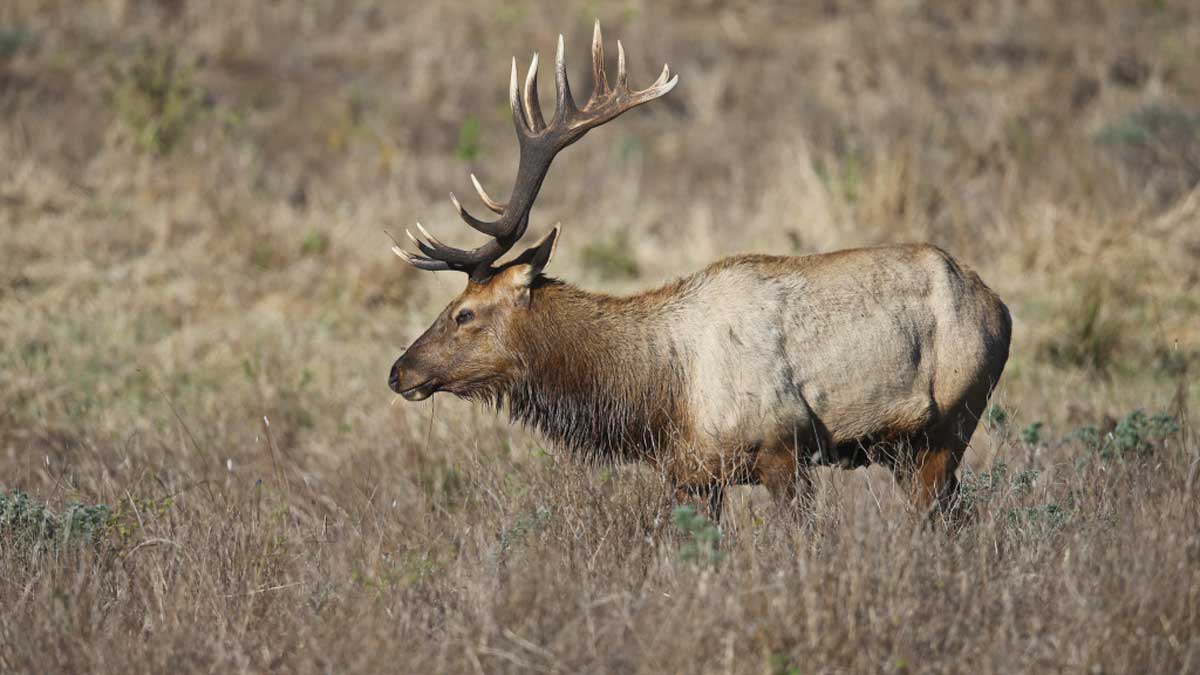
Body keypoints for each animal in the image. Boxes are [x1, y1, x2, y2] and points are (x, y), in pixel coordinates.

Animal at [387, 22, 1012, 524]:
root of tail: (1001, 309)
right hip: (905, 449)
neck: (661, 397)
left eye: (463, 314)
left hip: (947, 424)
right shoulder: (691, 473)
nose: (398, 371)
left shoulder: (783, 447)